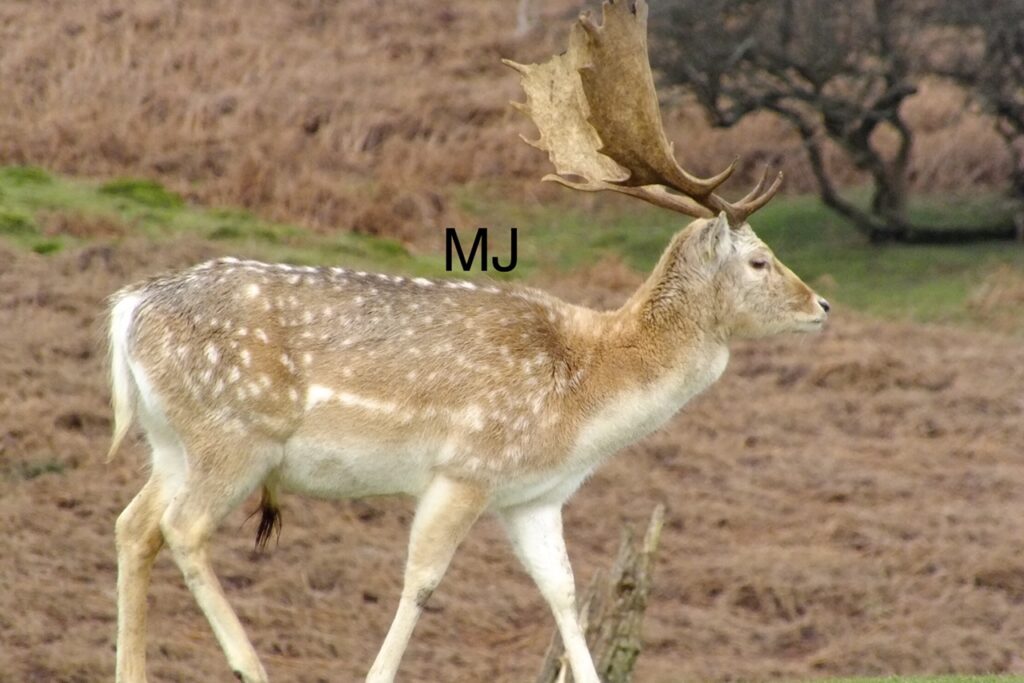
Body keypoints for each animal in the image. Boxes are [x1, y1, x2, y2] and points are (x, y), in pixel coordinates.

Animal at [106, 1, 829, 681]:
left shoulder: (534, 497)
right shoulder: (466, 465)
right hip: (235, 435)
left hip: (170, 442)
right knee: (181, 528)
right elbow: (422, 582)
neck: (586, 400)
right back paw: (250, 664)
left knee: (133, 525)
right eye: (759, 260)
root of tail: (128, 308)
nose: (821, 304)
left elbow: (565, 595)